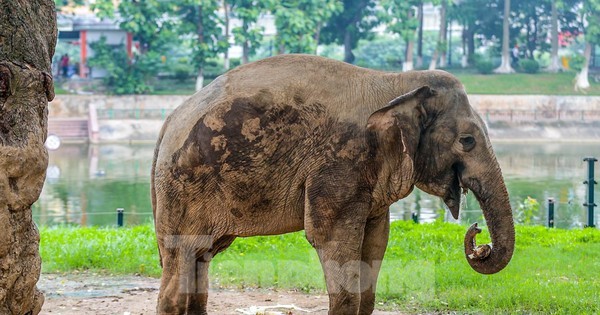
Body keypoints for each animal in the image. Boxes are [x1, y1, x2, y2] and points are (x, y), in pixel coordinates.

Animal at [151, 53, 516, 314]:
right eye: (467, 141)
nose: (478, 237)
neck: (394, 82)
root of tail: (168, 121)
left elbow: (375, 245)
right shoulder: (338, 164)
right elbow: (332, 241)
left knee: (201, 258)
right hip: (182, 186)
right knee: (181, 258)